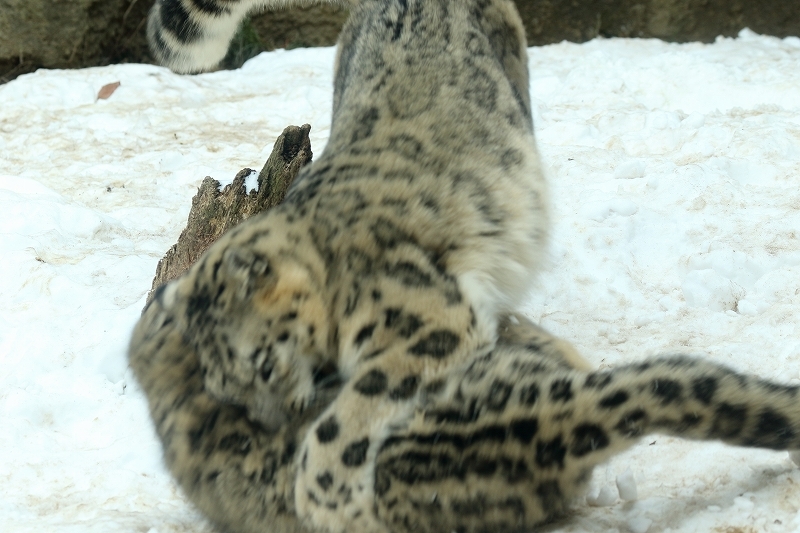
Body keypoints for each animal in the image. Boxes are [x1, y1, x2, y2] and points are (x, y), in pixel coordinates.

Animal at [133, 1, 800, 532]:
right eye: (225, 389)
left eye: (264, 363)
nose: (283, 421)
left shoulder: (423, 323)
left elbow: (349, 417)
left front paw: (324, 494)